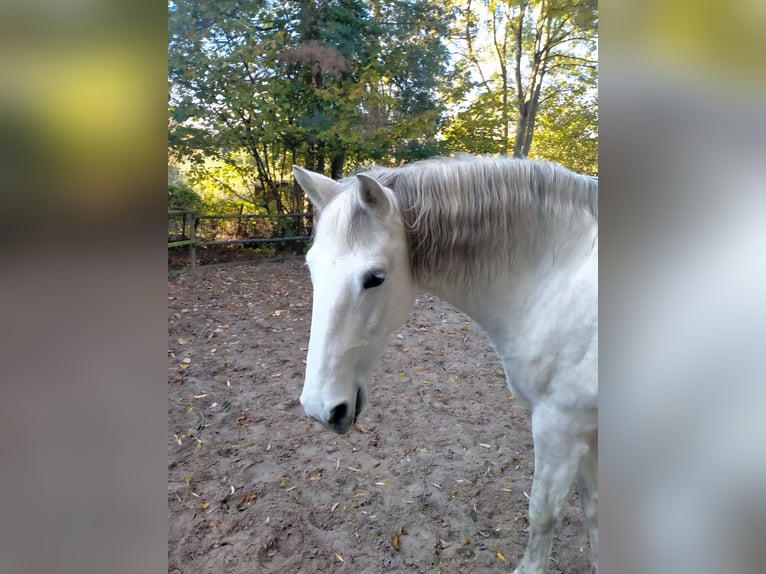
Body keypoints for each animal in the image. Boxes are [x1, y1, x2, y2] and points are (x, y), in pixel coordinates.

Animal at [294, 155, 600, 572]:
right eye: (311, 267)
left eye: (374, 278)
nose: (320, 409)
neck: (557, 284)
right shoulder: (588, 432)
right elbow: (595, 513)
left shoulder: (561, 427)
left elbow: (544, 514)